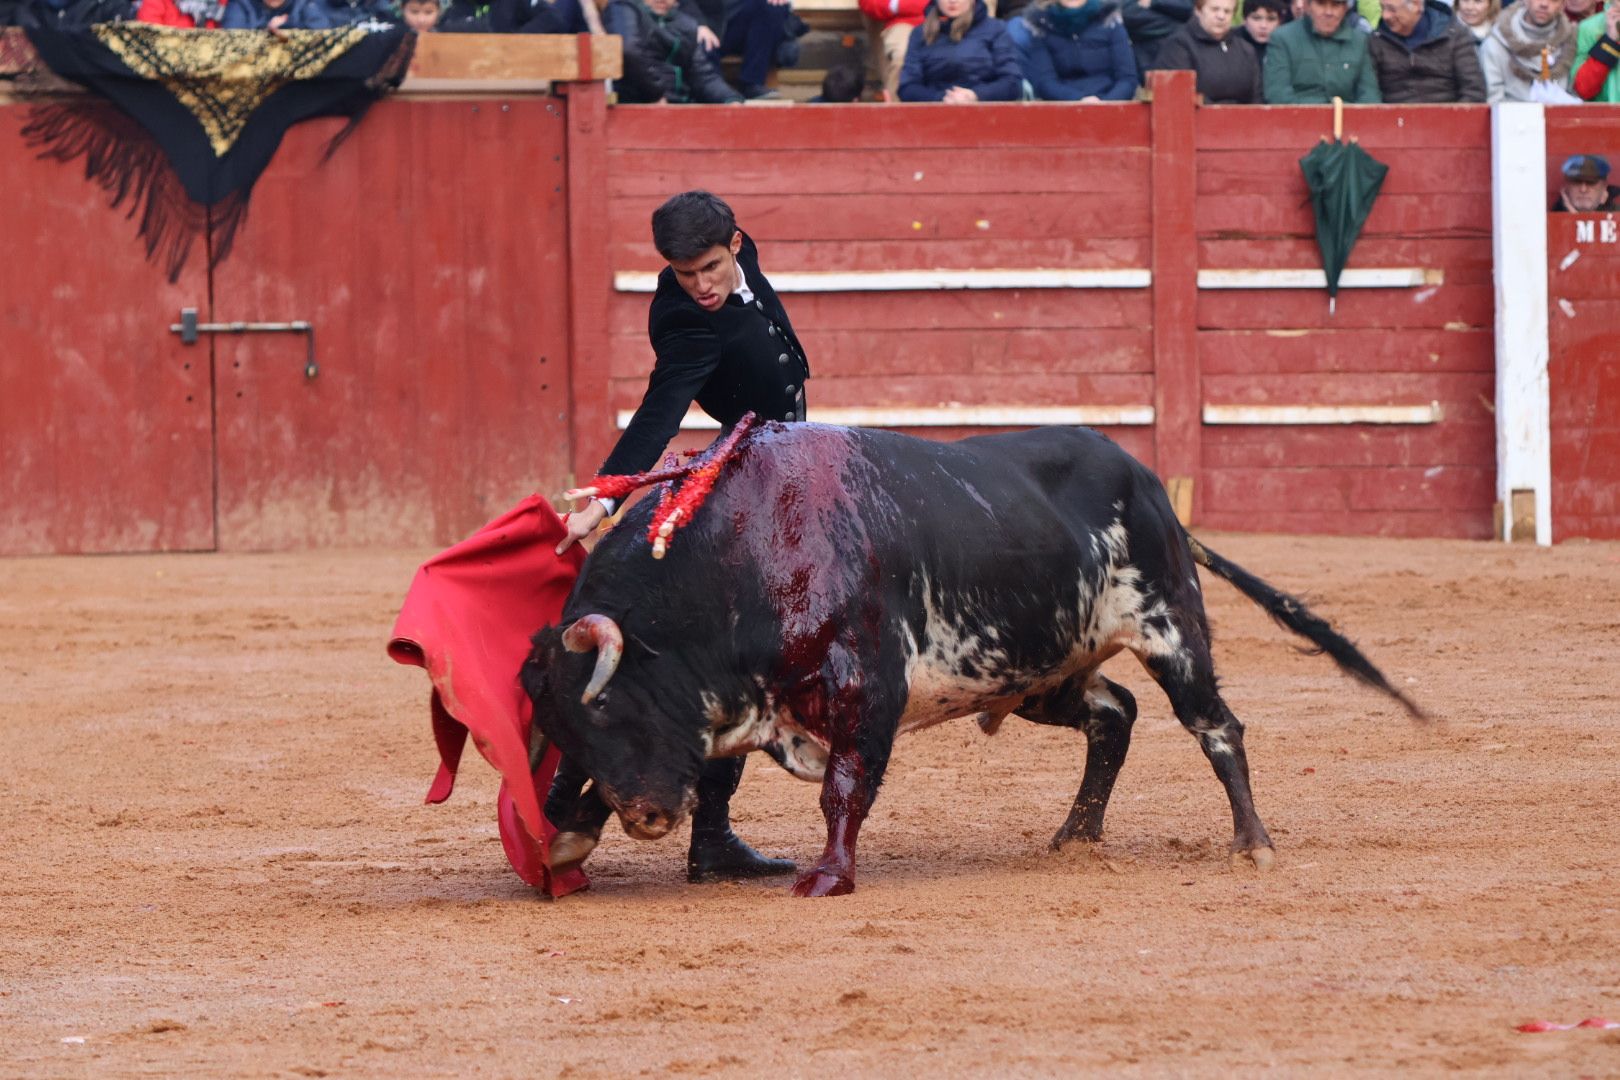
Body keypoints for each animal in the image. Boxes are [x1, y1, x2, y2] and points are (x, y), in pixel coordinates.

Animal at [521, 420, 1419, 893]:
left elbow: (844, 788)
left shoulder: (865, 691)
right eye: (565, 727)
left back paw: (1252, 843)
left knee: (1216, 726)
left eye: (613, 704)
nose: (647, 818)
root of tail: (1147, 482)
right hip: (1041, 674)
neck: (741, 551)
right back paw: (1075, 835)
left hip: (1171, 628)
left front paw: (828, 876)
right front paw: (567, 839)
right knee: (1115, 715)